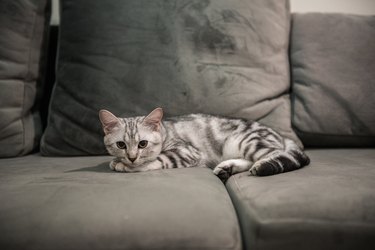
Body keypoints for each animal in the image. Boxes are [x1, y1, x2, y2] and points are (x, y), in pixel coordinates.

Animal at [98, 107, 310, 180]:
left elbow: (159, 159)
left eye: (143, 144)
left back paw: (262, 166)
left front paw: (126, 166)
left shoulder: (187, 151)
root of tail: (281, 135)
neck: (165, 131)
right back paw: (227, 168)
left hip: (247, 140)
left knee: (283, 155)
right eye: (121, 145)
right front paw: (117, 161)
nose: (132, 157)